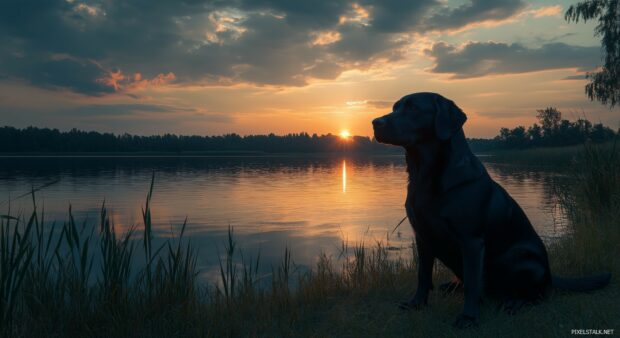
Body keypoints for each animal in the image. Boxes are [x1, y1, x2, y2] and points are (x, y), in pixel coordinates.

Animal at [372, 92, 612, 328]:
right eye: (395, 108)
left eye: (413, 108)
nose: (375, 122)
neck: (424, 175)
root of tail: (551, 276)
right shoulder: (422, 236)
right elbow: (423, 275)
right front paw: (416, 304)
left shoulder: (471, 240)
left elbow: (472, 282)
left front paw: (468, 318)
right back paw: (452, 286)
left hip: (521, 259)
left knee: (537, 294)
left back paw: (514, 302)